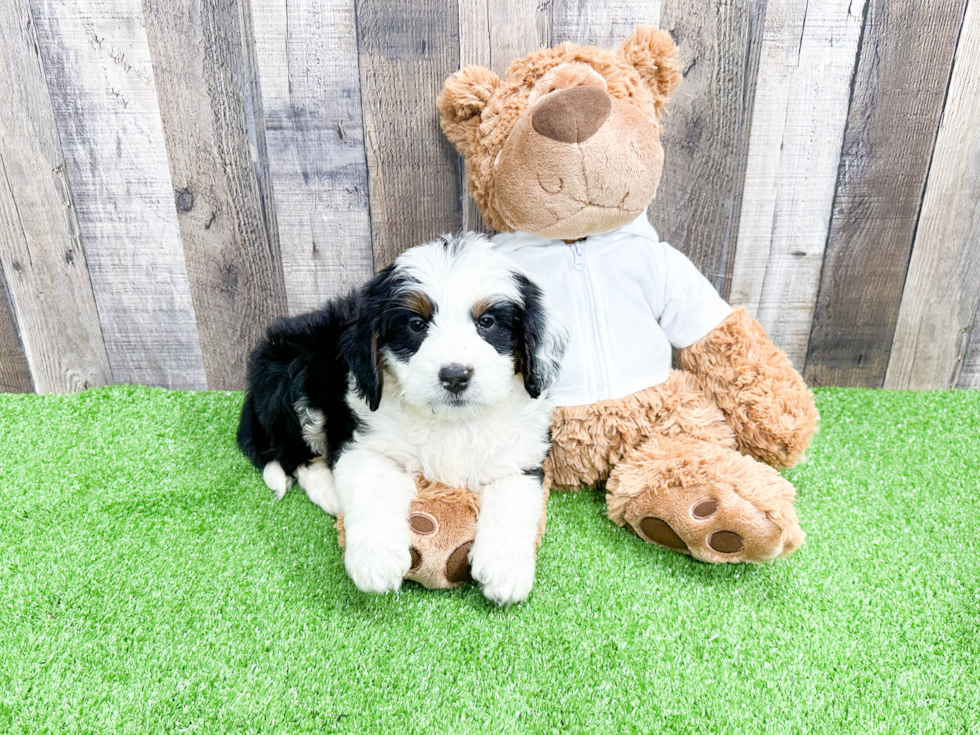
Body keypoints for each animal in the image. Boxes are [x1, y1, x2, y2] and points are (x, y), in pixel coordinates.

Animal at [236, 234, 568, 604]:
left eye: (487, 322)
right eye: (417, 325)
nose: (455, 376)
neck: (452, 422)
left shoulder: (521, 452)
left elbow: (514, 497)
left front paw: (506, 569)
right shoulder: (366, 439)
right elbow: (372, 485)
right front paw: (375, 560)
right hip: (291, 378)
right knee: (292, 454)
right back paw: (329, 490)